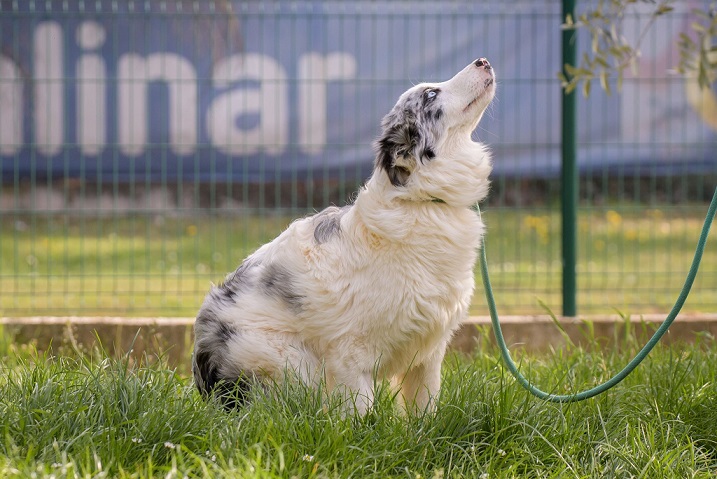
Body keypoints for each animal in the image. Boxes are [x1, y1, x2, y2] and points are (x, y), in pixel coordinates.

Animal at [194, 58, 498, 414]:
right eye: (431, 93)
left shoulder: (427, 355)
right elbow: (359, 413)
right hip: (290, 360)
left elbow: (424, 408)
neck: (421, 201)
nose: (483, 61)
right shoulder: (351, 355)